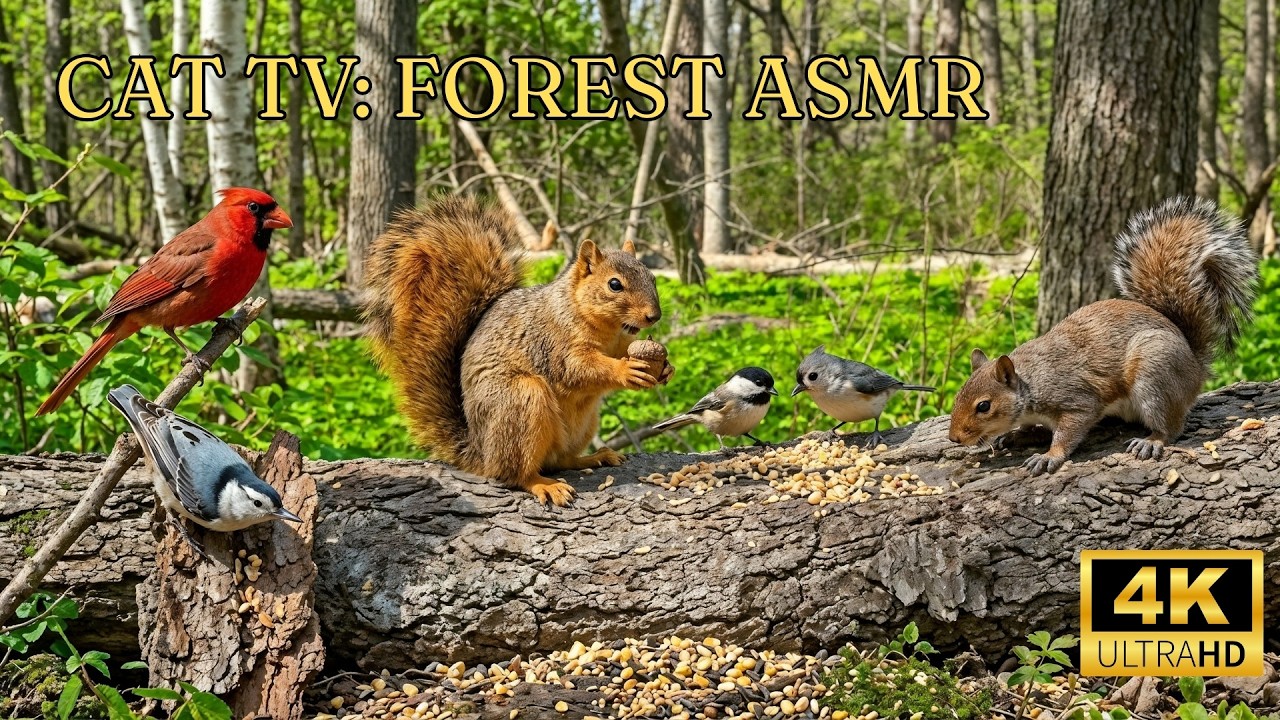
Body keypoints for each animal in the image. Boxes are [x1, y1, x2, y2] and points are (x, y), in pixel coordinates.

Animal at [361, 196, 666, 506]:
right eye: (614, 284)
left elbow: (624, 349)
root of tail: (480, 452)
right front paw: (626, 369)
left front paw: (665, 368)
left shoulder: (618, 342)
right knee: (516, 473)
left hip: (583, 423)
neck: (601, 326)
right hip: (521, 400)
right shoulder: (551, 343)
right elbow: (577, 368)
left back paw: (593, 457)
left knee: (560, 460)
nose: (654, 316)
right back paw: (543, 484)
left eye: (652, 277)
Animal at [948, 196, 1257, 476]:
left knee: (1171, 425)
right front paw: (1015, 435)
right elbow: (1031, 428)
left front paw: (1049, 456)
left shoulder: (1077, 401)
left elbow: (1069, 431)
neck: (1030, 382)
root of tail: (1195, 366)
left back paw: (1152, 440)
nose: (954, 438)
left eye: (984, 406)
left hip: (1155, 373)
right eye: (958, 395)